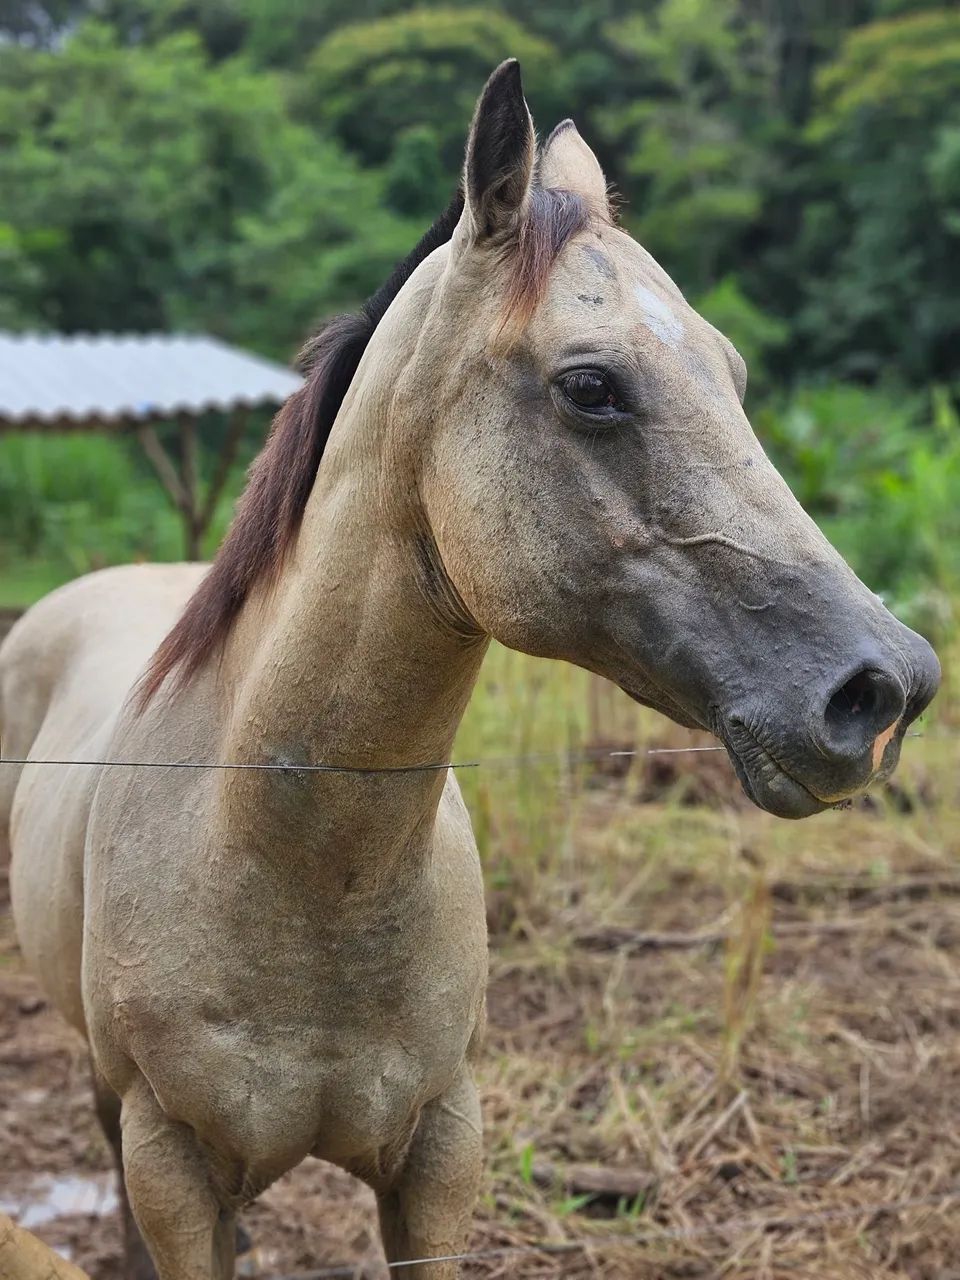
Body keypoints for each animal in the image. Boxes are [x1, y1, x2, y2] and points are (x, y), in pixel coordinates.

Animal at [0, 60, 939, 1280]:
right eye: (591, 386)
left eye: (731, 373)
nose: (887, 688)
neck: (285, 864)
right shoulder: (173, 1162)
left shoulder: (442, 1151)